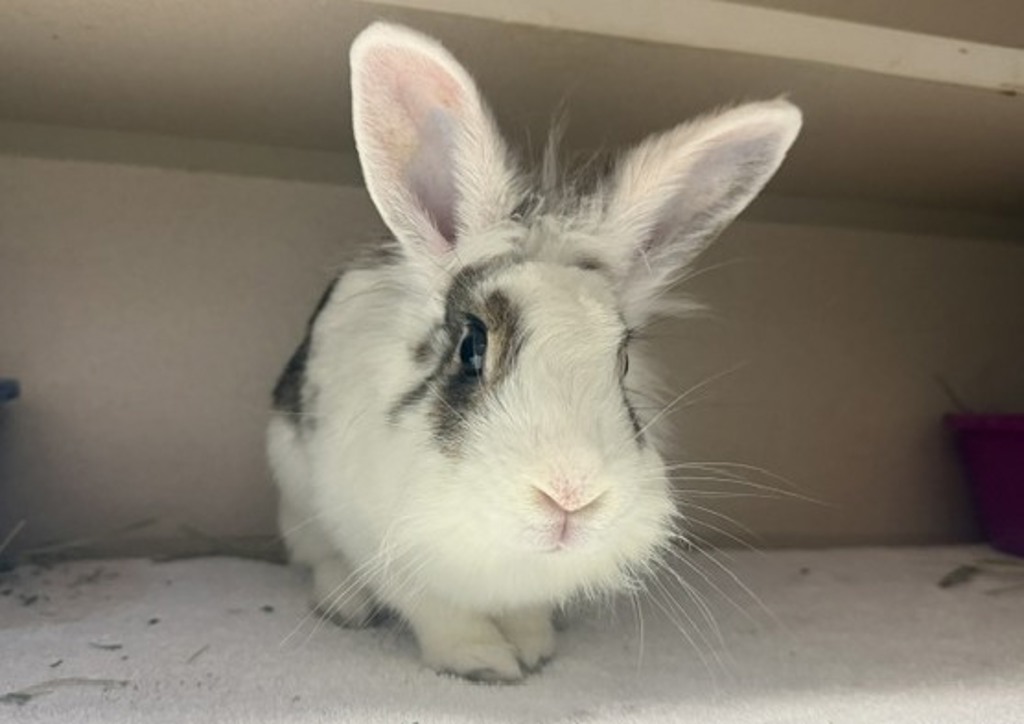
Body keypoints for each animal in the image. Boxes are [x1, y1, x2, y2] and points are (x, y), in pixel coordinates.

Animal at [267, 21, 801, 682]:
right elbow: (440, 612)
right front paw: (483, 663)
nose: (570, 495)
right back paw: (344, 603)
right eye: (472, 345)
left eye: (622, 360)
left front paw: (534, 649)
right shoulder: (379, 537)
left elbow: (526, 613)